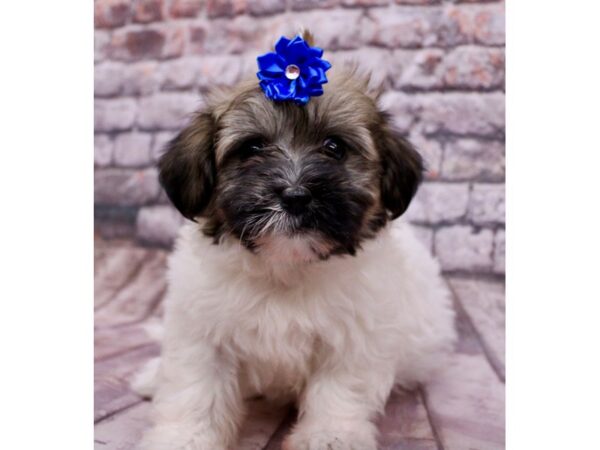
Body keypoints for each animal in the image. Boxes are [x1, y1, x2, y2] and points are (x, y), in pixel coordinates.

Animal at [136, 31, 454, 450]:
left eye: (334, 147)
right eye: (252, 148)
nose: (295, 195)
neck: (285, 266)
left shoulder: (357, 337)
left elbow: (339, 389)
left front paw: (330, 436)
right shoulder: (200, 330)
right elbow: (196, 388)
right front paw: (184, 437)